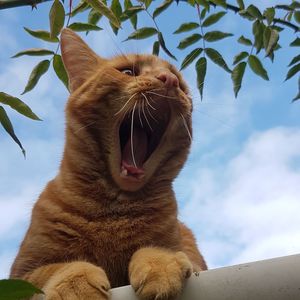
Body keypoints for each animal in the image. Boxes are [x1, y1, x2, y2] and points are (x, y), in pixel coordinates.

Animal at [9, 28, 206, 300]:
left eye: (181, 83)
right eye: (128, 72)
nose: (169, 80)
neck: (114, 211)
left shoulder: (193, 260)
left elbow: (158, 249)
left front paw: (160, 262)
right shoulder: (22, 275)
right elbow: (61, 266)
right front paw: (76, 286)